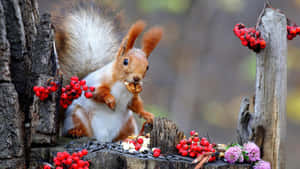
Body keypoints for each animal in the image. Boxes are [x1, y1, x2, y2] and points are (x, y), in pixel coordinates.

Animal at [52, 0, 163, 142]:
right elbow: (99, 93)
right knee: (80, 129)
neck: (122, 84)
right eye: (125, 61)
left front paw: (147, 114)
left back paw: (137, 134)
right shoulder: (95, 83)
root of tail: (104, 138)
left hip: (128, 124)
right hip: (76, 115)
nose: (137, 78)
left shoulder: (132, 96)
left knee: (127, 134)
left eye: (147, 67)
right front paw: (110, 100)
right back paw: (75, 131)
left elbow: (136, 105)